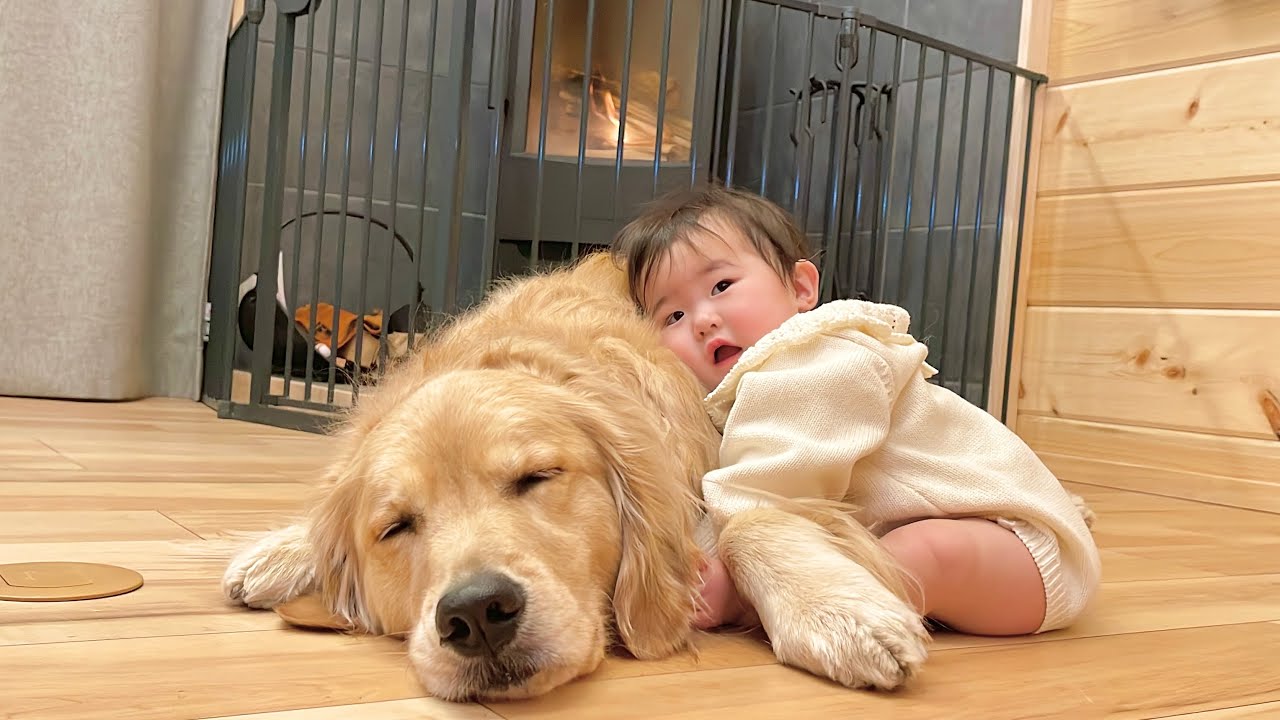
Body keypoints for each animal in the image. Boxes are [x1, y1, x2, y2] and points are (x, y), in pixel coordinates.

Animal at [221, 251, 929, 701]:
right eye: (394, 528)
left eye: (537, 477)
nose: (476, 614)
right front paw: (287, 550)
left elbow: (749, 518)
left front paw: (839, 615)